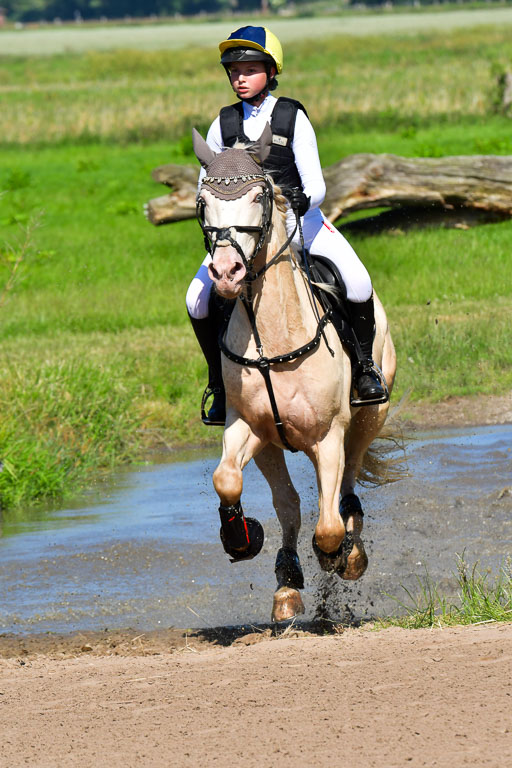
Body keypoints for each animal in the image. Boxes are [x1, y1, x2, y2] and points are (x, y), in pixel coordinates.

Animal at [192, 125, 397, 622]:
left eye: (260, 196)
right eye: (203, 200)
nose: (225, 272)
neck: (271, 339)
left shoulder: (329, 435)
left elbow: (327, 526)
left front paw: (336, 554)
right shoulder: (251, 427)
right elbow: (229, 481)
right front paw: (241, 538)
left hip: (369, 417)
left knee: (346, 485)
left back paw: (351, 551)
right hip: (274, 444)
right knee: (290, 504)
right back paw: (286, 583)